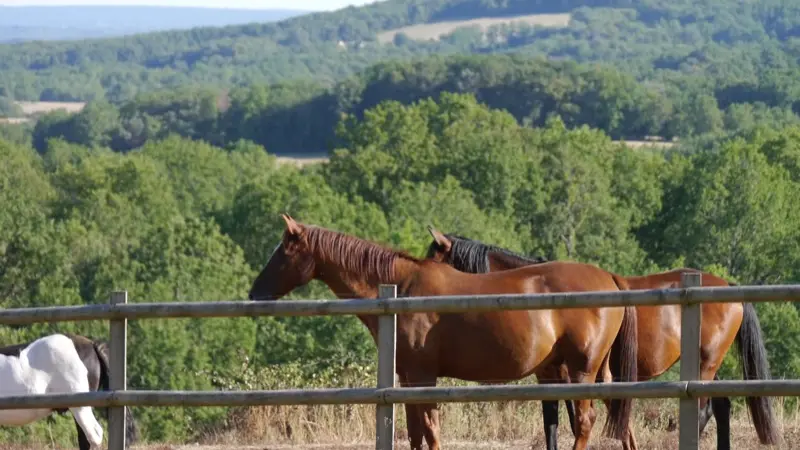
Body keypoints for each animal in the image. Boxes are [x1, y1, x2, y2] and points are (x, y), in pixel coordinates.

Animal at [250, 214, 636, 450]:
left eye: (284, 252)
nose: (255, 293)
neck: (402, 289)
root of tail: (610, 278)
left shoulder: (423, 377)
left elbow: (431, 431)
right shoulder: (407, 379)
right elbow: (415, 433)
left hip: (580, 371)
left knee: (585, 422)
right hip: (594, 373)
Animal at [428, 229, 780, 450]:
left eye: (433, 257)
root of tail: (728, 286)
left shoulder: (572, 375)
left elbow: (575, 421)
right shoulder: (550, 376)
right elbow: (551, 423)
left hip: (705, 364)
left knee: (704, 409)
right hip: (709, 365)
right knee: (721, 406)